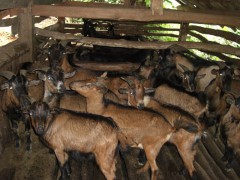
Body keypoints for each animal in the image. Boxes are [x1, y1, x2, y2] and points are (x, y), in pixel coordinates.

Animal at [69, 73, 199, 180]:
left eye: (89, 84)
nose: (71, 84)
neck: (102, 108)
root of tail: (170, 128)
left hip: (155, 147)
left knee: (156, 169)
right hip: (155, 147)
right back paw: (140, 171)